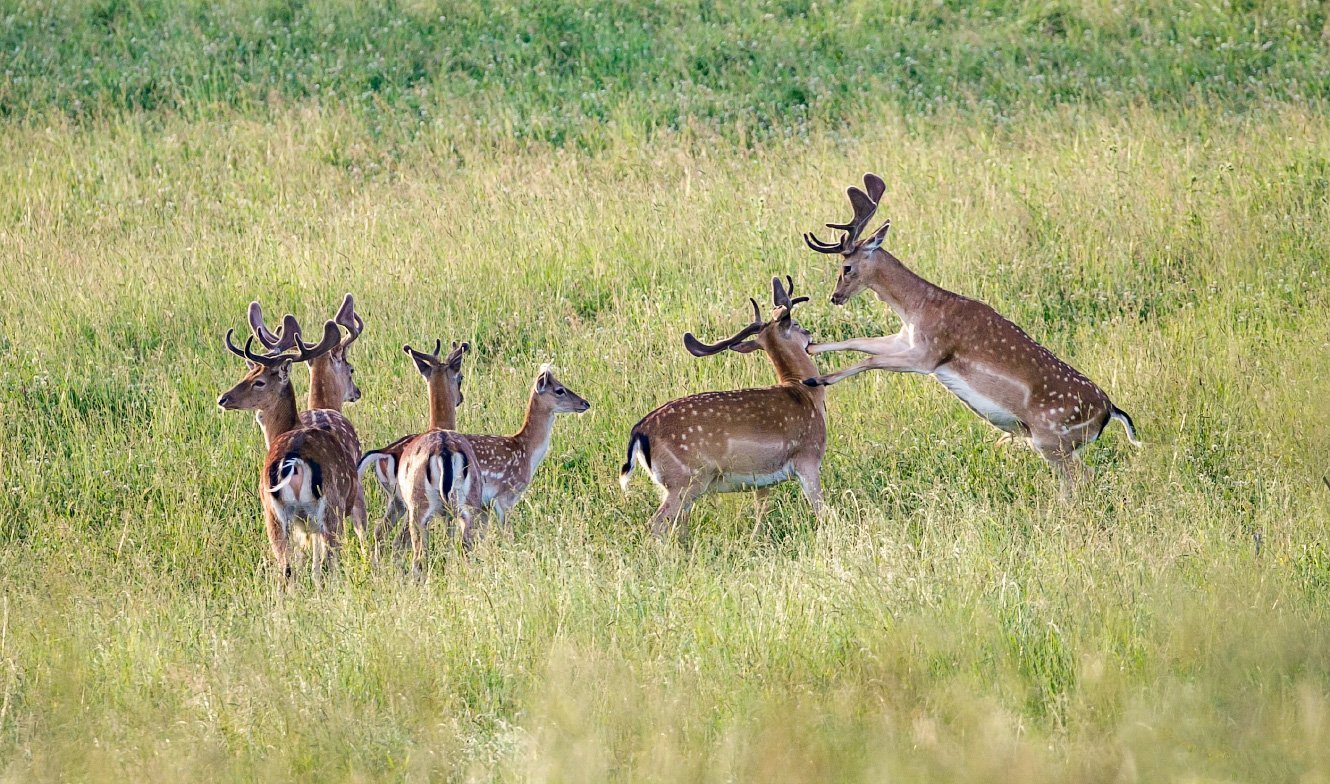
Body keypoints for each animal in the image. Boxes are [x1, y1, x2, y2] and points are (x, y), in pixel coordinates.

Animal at [218, 318, 356, 580]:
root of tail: (293, 461)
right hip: (328, 508)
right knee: (326, 562)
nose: (223, 398)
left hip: (276, 513)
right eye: (248, 373)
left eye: (258, 381)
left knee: (288, 566)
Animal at [619, 276, 824, 537]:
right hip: (686, 481)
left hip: (674, 485)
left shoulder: (762, 478)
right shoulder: (808, 457)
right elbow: (822, 510)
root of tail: (639, 432)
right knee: (657, 523)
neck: (805, 393)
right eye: (796, 323)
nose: (809, 333)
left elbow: (761, 514)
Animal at [803, 173, 1138, 495]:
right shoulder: (904, 339)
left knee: (1083, 477)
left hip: (1051, 439)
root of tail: (1110, 412)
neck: (917, 308)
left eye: (846, 267)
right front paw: (810, 348)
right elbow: (859, 343)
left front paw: (817, 379)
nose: (835, 297)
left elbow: (869, 360)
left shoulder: (929, 355)